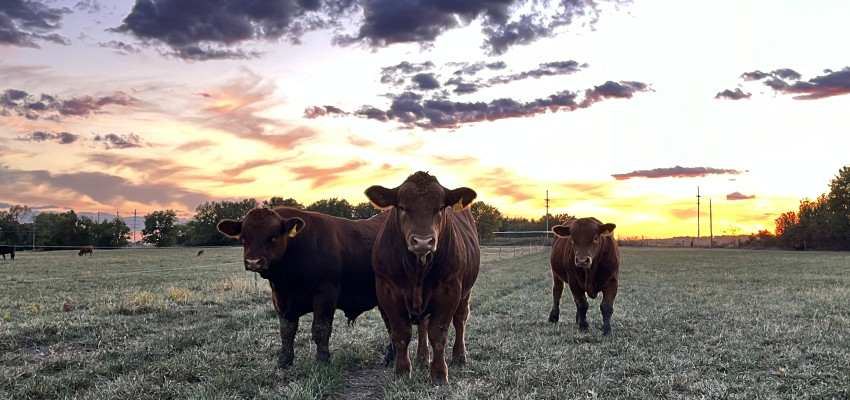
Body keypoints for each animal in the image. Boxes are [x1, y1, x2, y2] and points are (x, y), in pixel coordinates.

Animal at [217, 206, 392, 368]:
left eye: (273, 236)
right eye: (244, 237)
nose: (253, 262)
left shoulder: (325, 294)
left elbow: (320, 329)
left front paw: (322, 360)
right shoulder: (280, 298)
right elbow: (286, 330)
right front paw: (284, 360)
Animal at [362, 171, 480, 384]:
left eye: (441, 207)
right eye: (401, 206)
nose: (423, 241)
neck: (418, 270)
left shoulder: (450, 291)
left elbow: (439, 334)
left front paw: (440, 374)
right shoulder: (387, 292)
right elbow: (402, 334)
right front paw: (402, 371)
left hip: (466, 291)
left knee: (460, 319)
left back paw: (459, 356)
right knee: (423, 325)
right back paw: (422, 357)